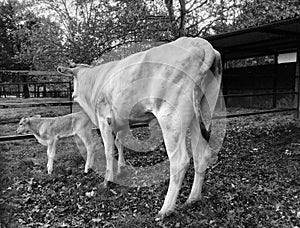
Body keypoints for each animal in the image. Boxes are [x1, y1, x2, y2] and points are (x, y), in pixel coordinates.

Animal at [57, 36, 221, 218]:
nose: (73, 94)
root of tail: (198, 42)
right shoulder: (121, 120)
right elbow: (119, 142)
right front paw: (121, 168)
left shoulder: (103, 119)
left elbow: (108, 150)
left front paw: (107, 180)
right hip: (201, 113)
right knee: (201, 155)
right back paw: (193, 198)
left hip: (171, 117)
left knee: (180, 161)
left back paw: (165, 210)